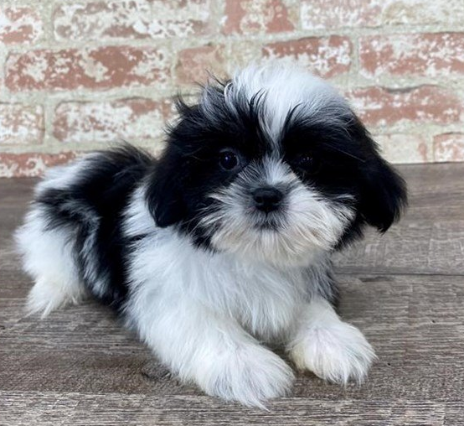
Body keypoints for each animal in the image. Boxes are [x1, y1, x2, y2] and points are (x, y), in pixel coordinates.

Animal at [15, 62, 406, 406]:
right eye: (228, 160)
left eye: (308, 162)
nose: (267, 195)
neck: (252, 256)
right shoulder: (165, 293)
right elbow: (202, 322)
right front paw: (244, 365)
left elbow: (312, 305)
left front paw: (332, 339)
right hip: (53, 233)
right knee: (54, 265)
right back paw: (52, 292)